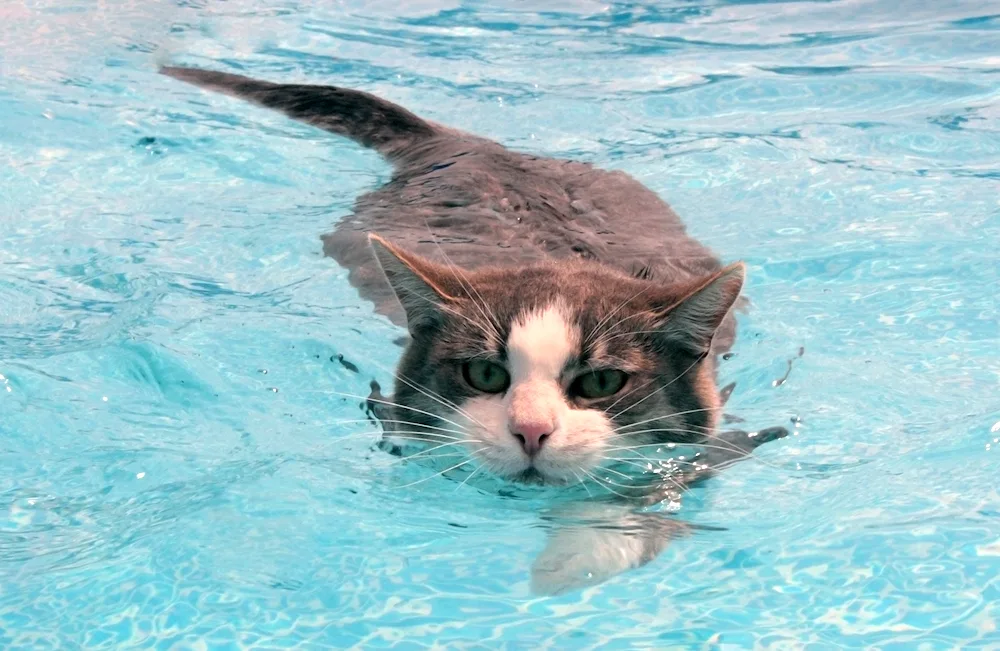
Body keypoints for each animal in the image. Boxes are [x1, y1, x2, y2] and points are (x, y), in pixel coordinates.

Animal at [160, 67, 784, 596]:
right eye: (483, 373)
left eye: (603, 382)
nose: (530, 431)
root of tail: (470, 146)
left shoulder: (715, 444)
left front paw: (573, 554)